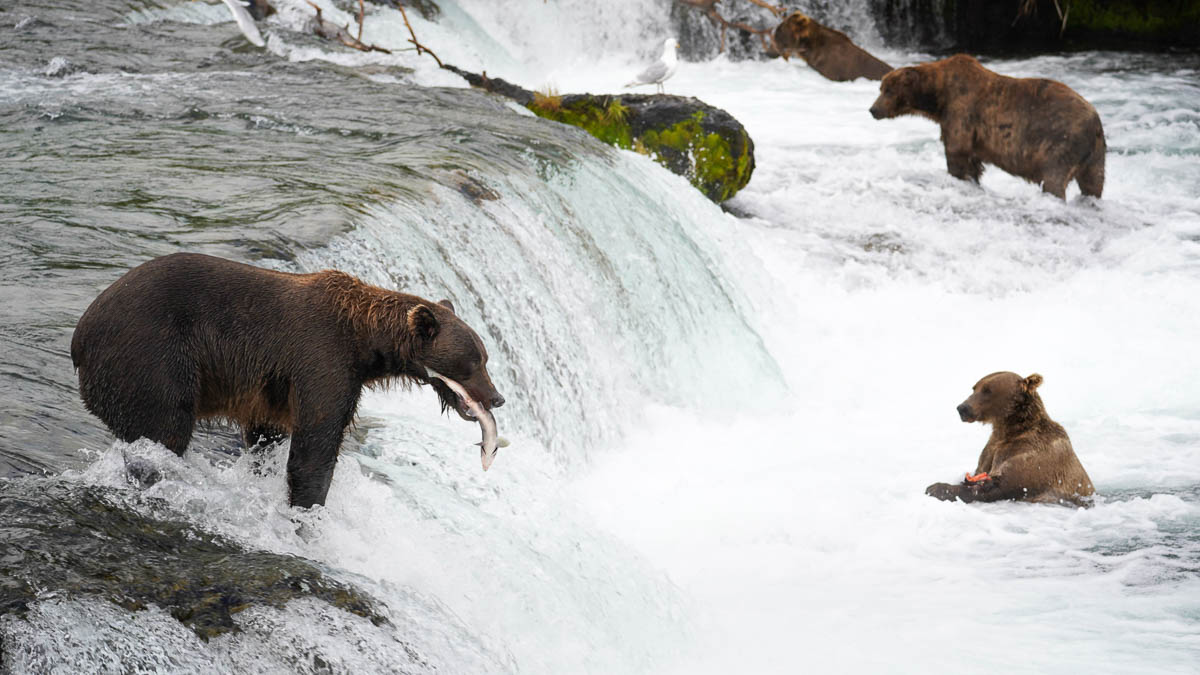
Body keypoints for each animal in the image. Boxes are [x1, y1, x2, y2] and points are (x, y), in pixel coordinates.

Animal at [73, 252, 506, 504]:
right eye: (474, 362)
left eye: (485, 358)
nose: (498, 397)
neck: (365, 344)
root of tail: (78, 339)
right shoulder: (323, 360)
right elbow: (315, 450)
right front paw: (308, 515)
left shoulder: (272, 390)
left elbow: (268, 436)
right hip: (151, 357)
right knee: (164, 430)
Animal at [864, 54, 1104, 196]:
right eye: (881, 88)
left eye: (888, 90)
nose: (873, 110)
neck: (937, 98)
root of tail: (1095, 118)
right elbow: (972, 162)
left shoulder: (962, 111)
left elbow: (956, 152)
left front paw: (958, 176)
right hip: (1094, 155)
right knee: (1093, 183)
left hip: (1060, 140)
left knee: (1054, 177)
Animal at [926, 369, 1099, 506]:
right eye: (974, 388)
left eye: (988, 390)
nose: (962, 408)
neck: (1008, 431)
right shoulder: (992, 449)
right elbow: (979, 472)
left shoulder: (1031, 457)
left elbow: (1000, 485)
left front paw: (936, 487)